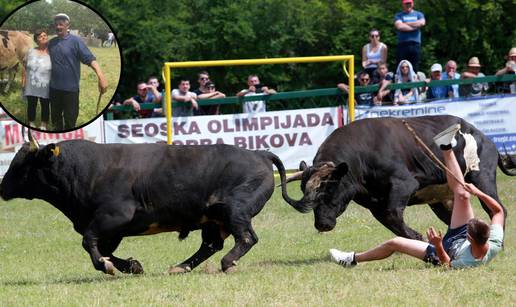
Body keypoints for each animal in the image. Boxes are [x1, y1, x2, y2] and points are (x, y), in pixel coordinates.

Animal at [0, 140, 292, 274]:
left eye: (23, 164)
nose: (2, 187)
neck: (83, 170)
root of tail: (259, 154)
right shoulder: (112, 230)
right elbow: (103, 247)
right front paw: (131, 266)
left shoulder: (113, 216)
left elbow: (88, 241)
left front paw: (105, 266)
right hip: (213, 219)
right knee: (210, 244)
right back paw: (180, 267)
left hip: (235, 210)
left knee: (246, 237)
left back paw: (228, 263)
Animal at [282, 115, 516, 241]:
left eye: (330, 188)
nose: (322, 224)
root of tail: (485, 138)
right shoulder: (374, 204)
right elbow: (391, 220)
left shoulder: (404, 184)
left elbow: (393, 214)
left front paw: (418, 237)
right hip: (443, 199)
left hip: (482, 179)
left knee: (497, 209)